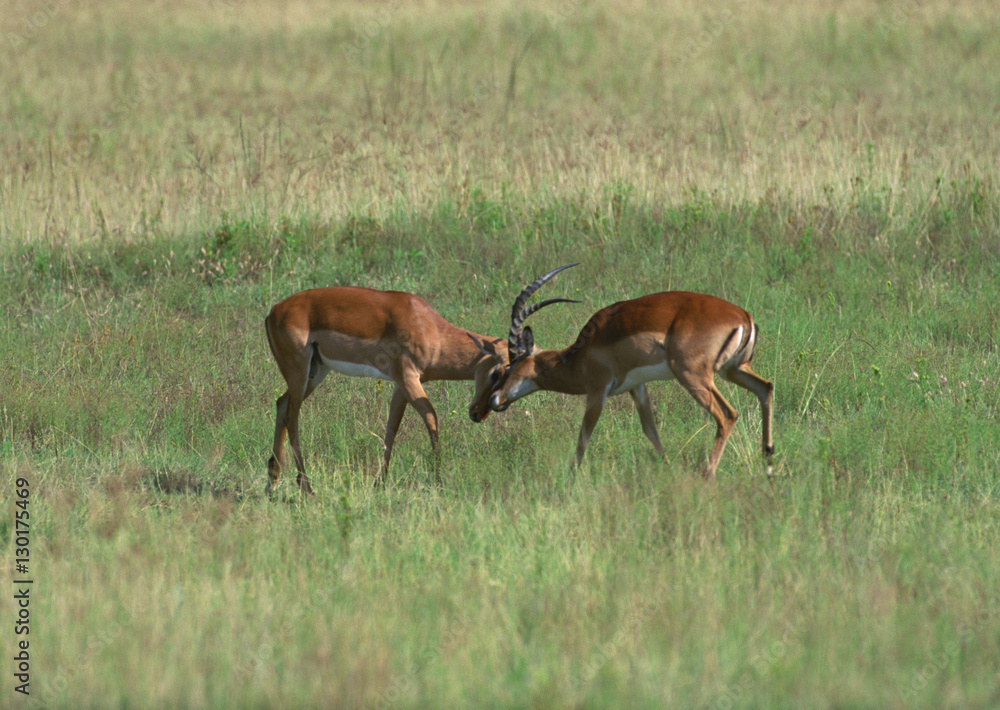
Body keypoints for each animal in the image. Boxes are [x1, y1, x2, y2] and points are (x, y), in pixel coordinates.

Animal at [264, 271, 575, 494]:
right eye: (499, 372)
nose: (478, 413)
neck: (428, 326)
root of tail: (273, 311)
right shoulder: (408, 377)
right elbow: (431, 417)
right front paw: (439, 480)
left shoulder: (400, 384)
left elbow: (392, 427)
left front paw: (380, 484)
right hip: (299, 369)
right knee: (292, 416)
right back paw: (306, 487)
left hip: (317, 372)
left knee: (281, 404)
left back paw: (273, 482)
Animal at [489, 273, 774, 479]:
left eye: (509, 367)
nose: (494, 400)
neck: (579, 356)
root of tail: (743, 316)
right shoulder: (637, 387)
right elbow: (651, 430)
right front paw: (668, 469)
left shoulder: (597, 391)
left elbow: (584, 435)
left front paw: (571, 477)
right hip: (734, 370)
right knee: (766, 388)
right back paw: (768, 463)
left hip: (694, 376)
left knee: (727, 415)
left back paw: (707, 475)